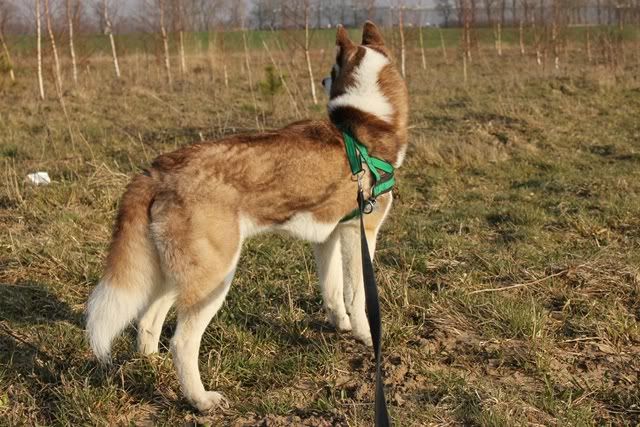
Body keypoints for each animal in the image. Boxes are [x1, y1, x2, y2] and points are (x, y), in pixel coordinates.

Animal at [86, 21, 408, 412]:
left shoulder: (327, 237)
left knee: (148, 318)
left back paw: (152, 366)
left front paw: (341, 326)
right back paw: (200, 400)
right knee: (182, 342)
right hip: (216, 277)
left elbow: (332, 291)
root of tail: (158, 170)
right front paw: (365, 336)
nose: (320, 80)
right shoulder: (358, 232)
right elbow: (357, 295)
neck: (365, 123)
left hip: (178, 272)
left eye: (331, 69)